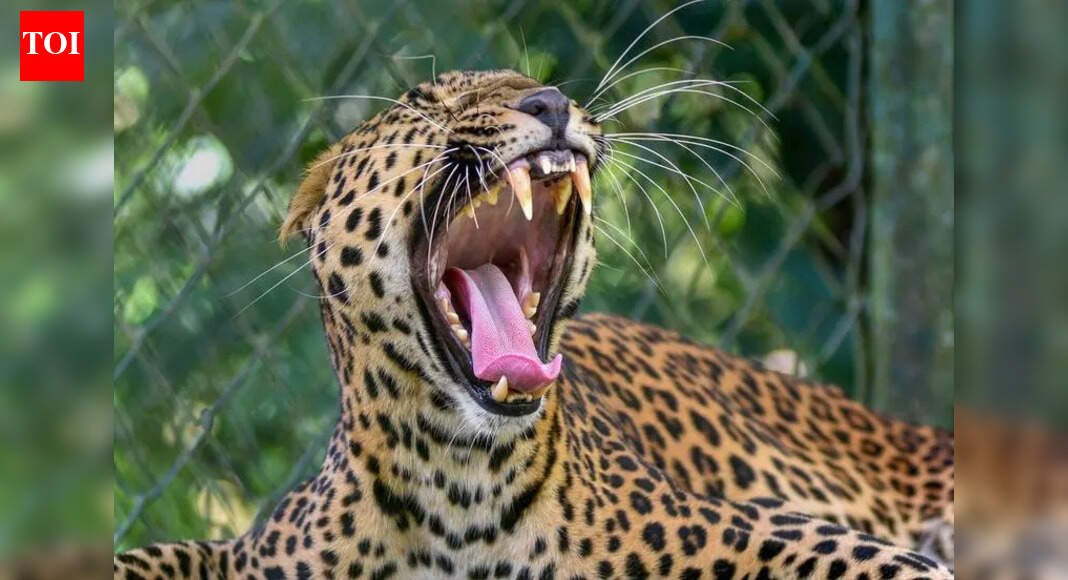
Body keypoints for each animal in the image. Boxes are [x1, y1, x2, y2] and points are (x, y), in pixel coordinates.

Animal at [114, 69, 954, 579]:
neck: (459, 486)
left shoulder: (769, 532)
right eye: (423, 99)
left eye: (544, 90)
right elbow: (155, 553)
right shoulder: (259, 548)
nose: (549, 102)